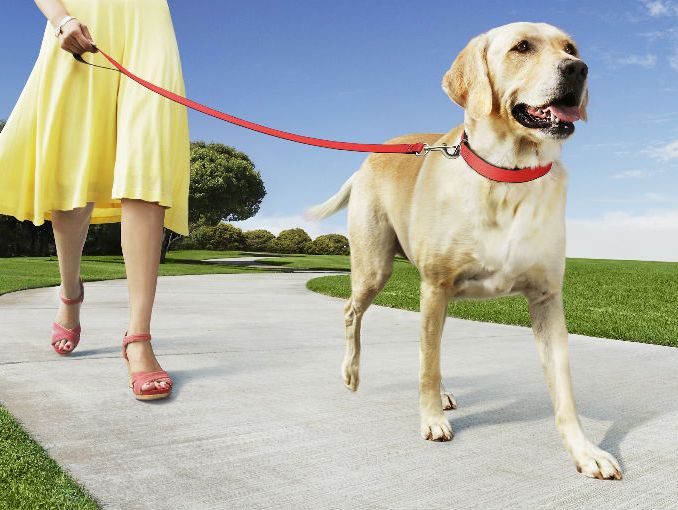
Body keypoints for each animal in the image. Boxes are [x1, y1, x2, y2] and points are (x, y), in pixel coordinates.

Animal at [310, 21, 624, 480]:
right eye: (522, 47)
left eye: (571, 48)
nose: (578, 69)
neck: (509, 177)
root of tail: (369, 158)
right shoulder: (436, 285)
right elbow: (427, 364)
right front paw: (431, 420)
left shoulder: (546, 297)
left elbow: (564, 389)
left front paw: (585, 451)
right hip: (375, 268)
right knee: (356, 314)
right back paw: (352, 374)